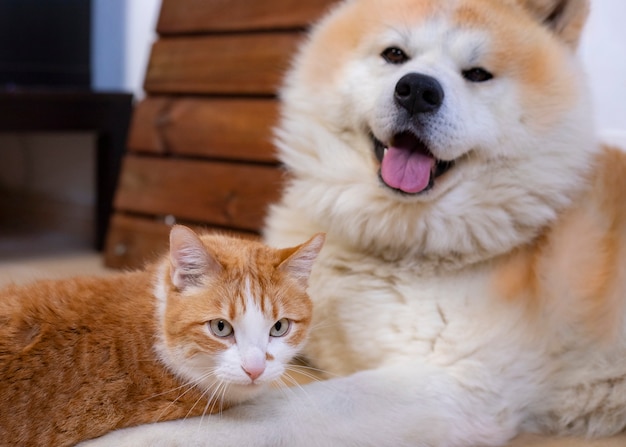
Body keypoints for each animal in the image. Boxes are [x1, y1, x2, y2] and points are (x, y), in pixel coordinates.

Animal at [81, 0, 624, 447]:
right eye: (395, 55)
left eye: (477, 73)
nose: (418, 90)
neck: (387, 244)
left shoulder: (457, 381)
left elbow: (260, 416)